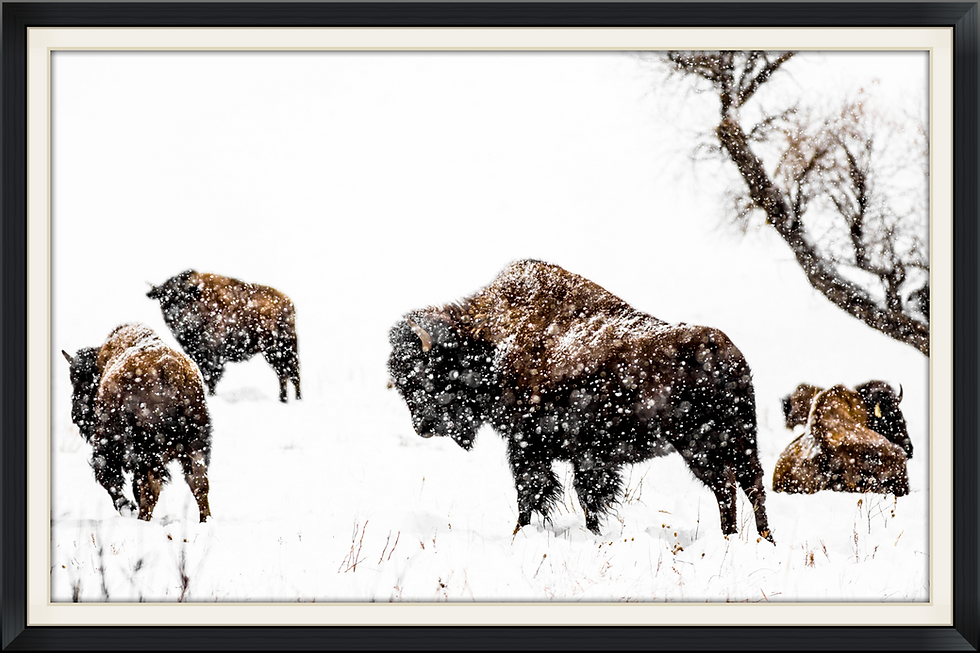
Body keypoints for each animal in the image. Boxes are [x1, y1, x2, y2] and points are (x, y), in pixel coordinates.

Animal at [63, 323, 212, 521]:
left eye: (79, 381)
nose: (77, 415)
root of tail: (170, 369)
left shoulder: (107, 447)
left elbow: (108, 479)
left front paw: (127, 508)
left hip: (148, 452)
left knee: (151, 489)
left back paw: (142, 520)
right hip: (196, 445)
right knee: (199, 484)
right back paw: (205, 520)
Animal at [147, 270, 301, 402]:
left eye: (182, 296)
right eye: (163, 298)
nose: (173, 314)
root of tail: (288, 302)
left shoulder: (213, 356)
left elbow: (211, 378)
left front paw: (211, 395)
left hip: (283, 348)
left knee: (293, 374)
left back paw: (296, 399)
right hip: (273, 352)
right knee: (283, 374)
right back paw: (283, 399)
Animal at [388, 259, 773, 541]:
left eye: (423, 374)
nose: (421, 427)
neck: (491, 344)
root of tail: (721, 351)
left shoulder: (539, 448)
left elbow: (541, 491)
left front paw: (523, 533)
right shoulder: (559, 452)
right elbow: (565, 494)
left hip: (702, 445)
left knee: (728, 486)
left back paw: (736, 538)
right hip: (738, 438)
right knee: (747, 484)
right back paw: (758, 539)